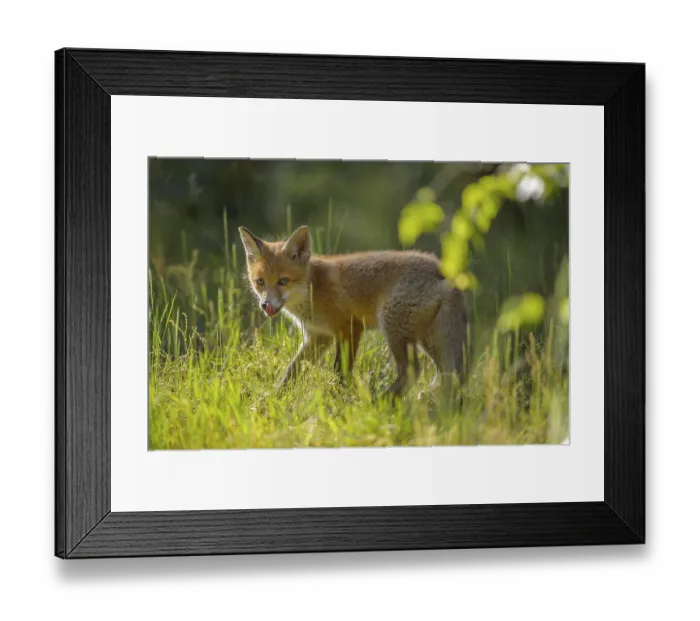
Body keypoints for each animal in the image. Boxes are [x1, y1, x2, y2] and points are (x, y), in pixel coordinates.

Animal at [238, 225, 471, 398]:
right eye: (260, 282)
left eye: (283, 281)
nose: (266, 304)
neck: (313, 288)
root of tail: (444, 269)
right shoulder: (318, 337)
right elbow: (292, 371)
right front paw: (274, 398)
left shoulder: (350, 327)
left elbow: (339, 371)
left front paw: (338, 399)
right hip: (427, 339)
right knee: (446, 373)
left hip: (393, 327)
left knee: (413, 370)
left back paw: (383, 401)